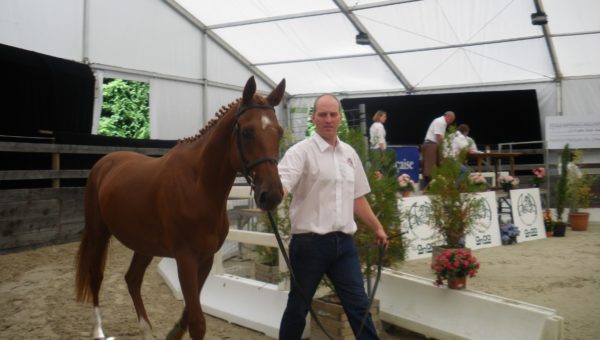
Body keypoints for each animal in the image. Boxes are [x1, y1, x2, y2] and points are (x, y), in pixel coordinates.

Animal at [76, 77, 288, 340]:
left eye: (279, 132)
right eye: (247, 132)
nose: (272, 195)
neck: (198, 187)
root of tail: (104, 163)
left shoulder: (205, 259)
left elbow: (190, 312)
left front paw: (174, 332)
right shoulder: (185, 259)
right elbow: (197, 322)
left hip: (144, 245)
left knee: (133, 279)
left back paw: (147, 331)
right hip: (99, 233)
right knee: (96, 276)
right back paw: (99, 330)